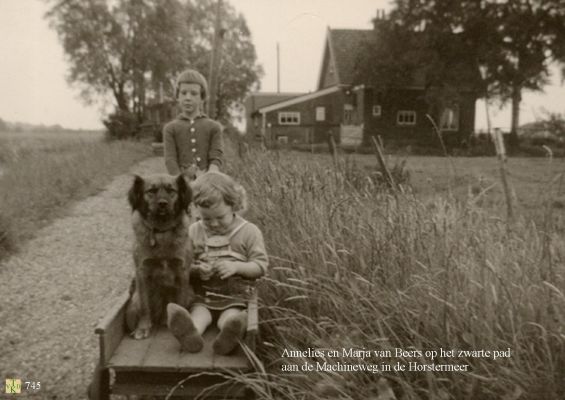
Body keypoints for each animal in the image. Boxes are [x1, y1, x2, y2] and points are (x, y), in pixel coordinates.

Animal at [125, 173, 194, 340]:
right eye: (151, 191)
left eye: (171, 191)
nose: (163, 203)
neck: (162, 230)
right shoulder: (142, 273)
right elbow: (145, 306)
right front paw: (143, 327)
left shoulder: (182, 272)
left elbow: (179, 302)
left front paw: (182, 321)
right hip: (134, 301)